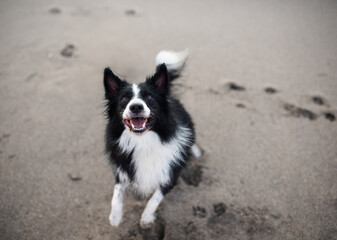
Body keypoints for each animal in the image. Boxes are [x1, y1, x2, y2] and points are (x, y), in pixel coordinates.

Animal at [103, 49, 201, 228]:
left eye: (149, 98)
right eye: (124, 99)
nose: (136, 107)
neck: (143, 141)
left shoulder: (170, 174)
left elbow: (155, 198)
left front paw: (146, 218)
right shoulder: (123, 169)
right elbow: (117, 193)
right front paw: (115, 217)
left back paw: (197, 152)